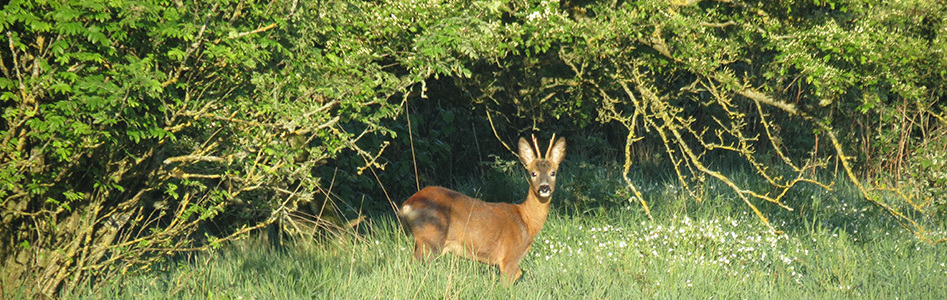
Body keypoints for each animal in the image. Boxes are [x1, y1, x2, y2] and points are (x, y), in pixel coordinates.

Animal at [398, 135, 568, 284]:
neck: (527, 222)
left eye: (553, 173)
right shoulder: (509, 256)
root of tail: (407, 205)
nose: (544, 187)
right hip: (430, 238)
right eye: (533, 173)